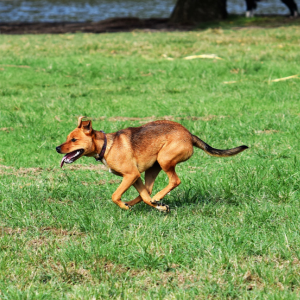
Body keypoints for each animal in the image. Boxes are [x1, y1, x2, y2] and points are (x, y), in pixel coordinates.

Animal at [56, 116, 248, 212]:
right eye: (67, 138)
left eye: (74, 140)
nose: (57, 148)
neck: (106, 145)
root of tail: (189, 135)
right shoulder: (135, 177)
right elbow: (142, 194)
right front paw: (155, 206)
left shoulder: (131, 175)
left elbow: (115, 195)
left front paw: (123, 206)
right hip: (153, 168)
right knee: (147, 193)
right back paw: (155, 203)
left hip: (164, 160)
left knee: (174, 181)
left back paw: (154, 199)